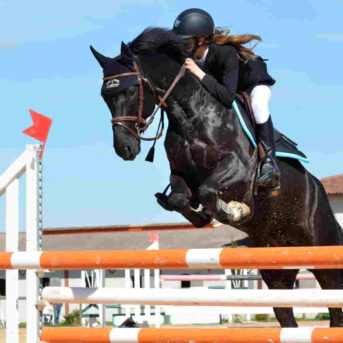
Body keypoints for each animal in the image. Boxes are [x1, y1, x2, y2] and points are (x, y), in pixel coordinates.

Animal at [90, 28, 343, 326]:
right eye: (105, 97)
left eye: (131, 90)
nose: (125, 149)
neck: (191, 116)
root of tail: (318, 190)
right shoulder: (181, 175)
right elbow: (179, 199)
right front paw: (202, 216)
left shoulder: (239, 169)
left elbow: (209, 191)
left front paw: (233, 210)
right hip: (276, 267)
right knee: (286, 315)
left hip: (325, 253)